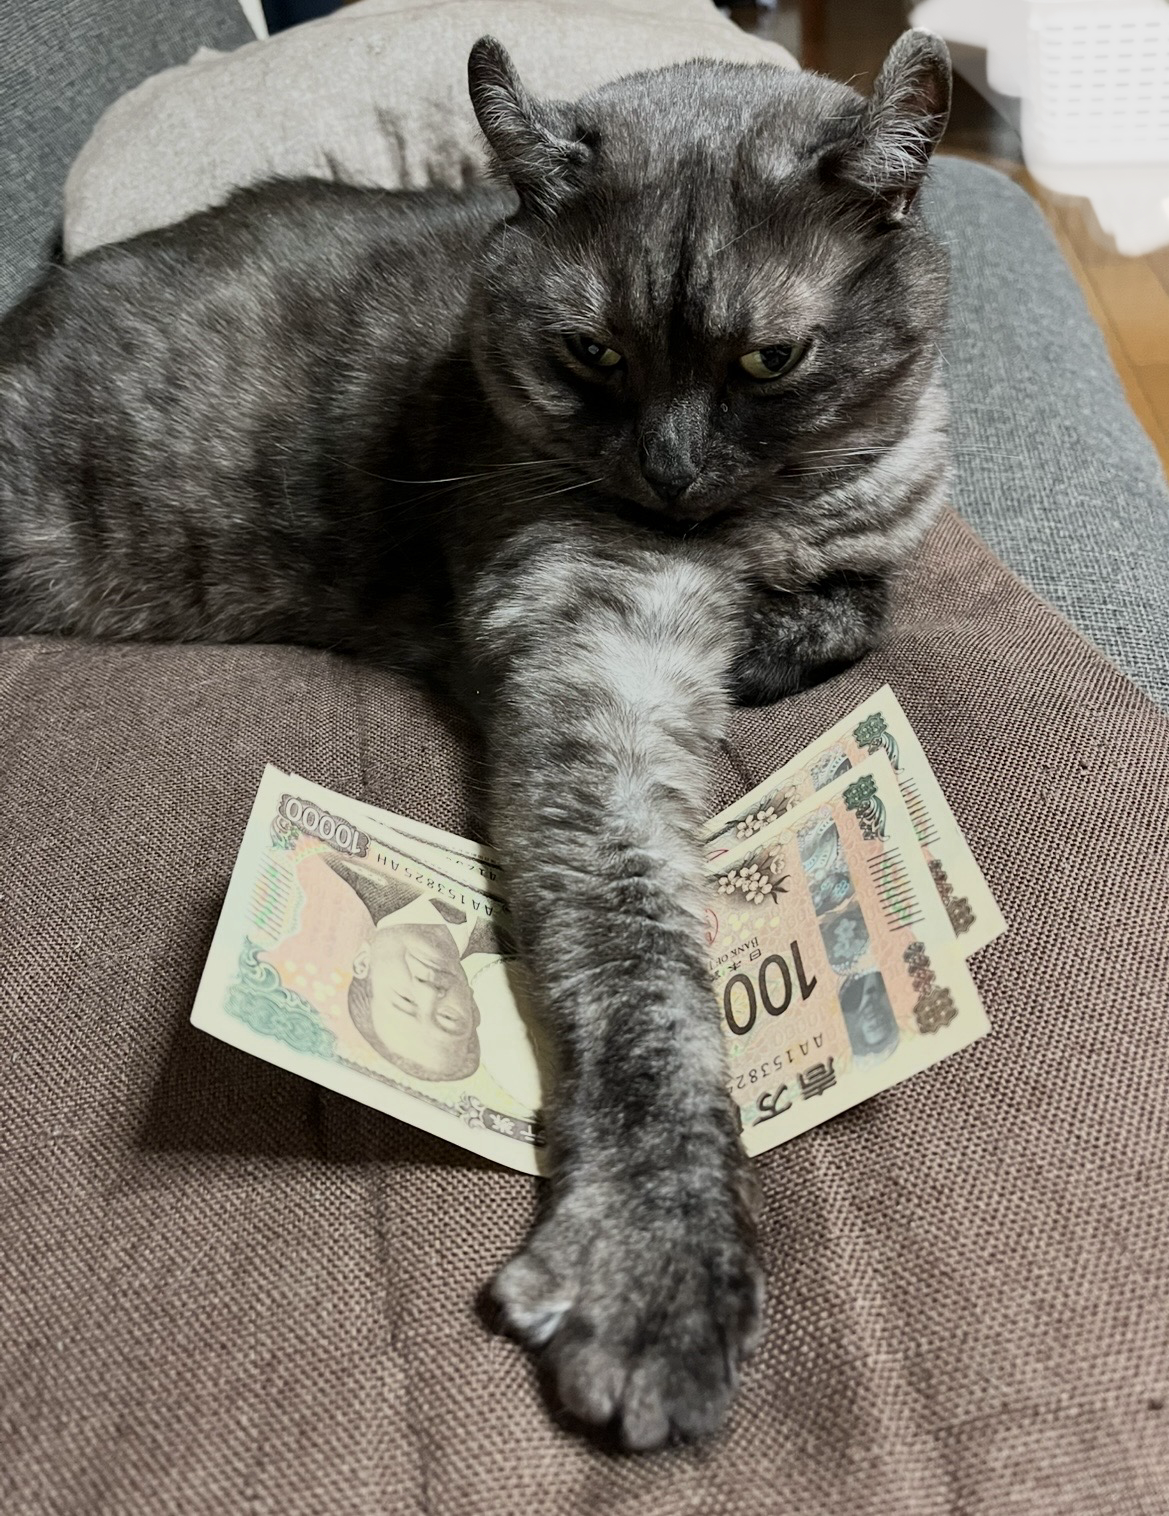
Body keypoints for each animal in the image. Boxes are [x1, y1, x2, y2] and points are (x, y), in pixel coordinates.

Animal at [0, 31, 952, 1448]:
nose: (669, 472)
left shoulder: (855, 540)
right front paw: (657, 1260)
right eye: (590, 352)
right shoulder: (593, 668)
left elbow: (859, 605)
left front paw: (784, 623)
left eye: (769, 361)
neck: (749, 531)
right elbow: (641, 970)